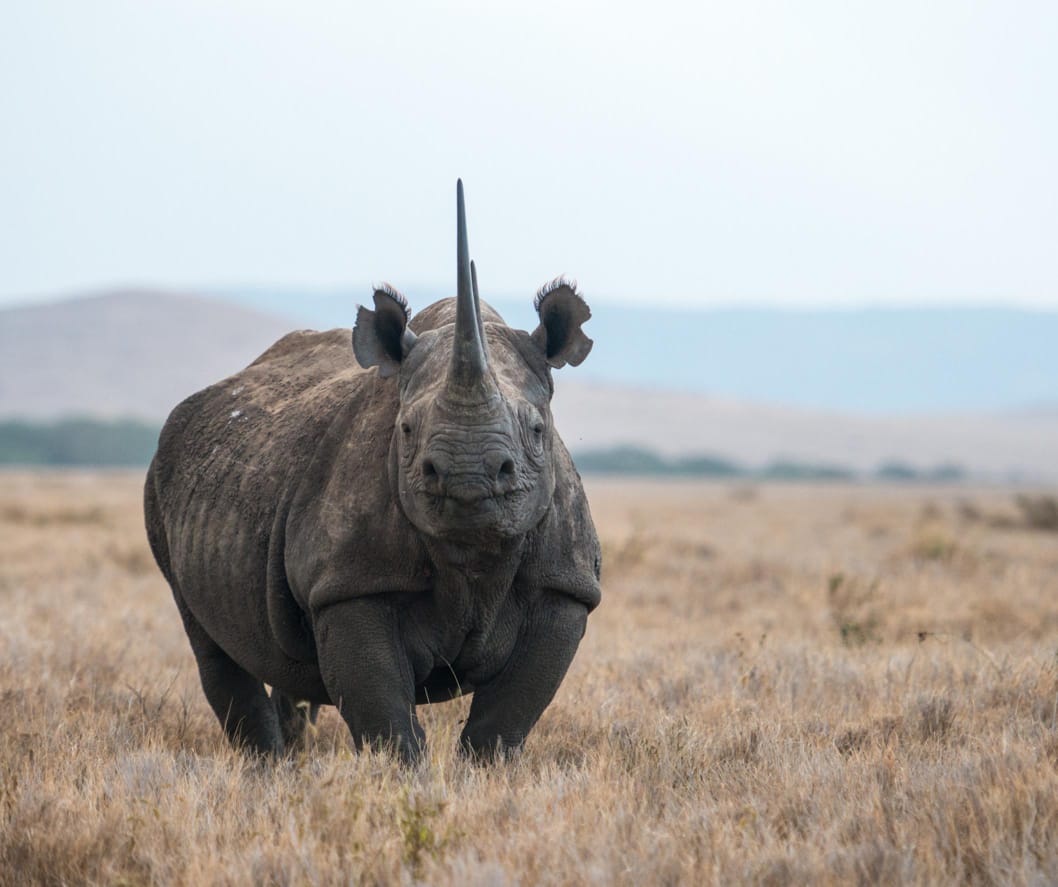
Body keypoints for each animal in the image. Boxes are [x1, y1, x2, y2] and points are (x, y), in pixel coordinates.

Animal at [144, 181, 601, 762]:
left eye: (538, 430)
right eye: (404, 429)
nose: (466, 478)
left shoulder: (564, 584)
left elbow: (504, 722)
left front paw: (484, 776)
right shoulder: (351, 582)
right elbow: (385, 717)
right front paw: (402, 778)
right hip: (160, 483)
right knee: (211, 643)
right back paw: (268, 769)